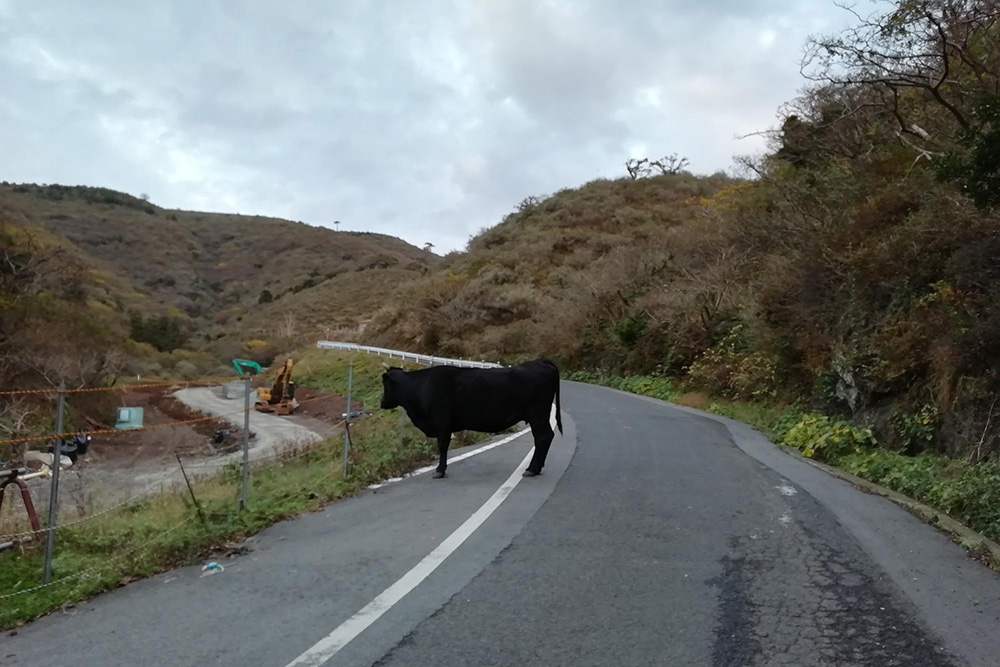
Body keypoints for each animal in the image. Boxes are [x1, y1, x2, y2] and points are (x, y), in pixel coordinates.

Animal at [378, 360, 564, 480]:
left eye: (385, 384)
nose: (381, 402)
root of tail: (541, 362)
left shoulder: (442, 424)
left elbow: (442, 446)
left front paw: (439, 471)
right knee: (544, 437)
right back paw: (536, 468)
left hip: (537, 414)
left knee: (543, 437)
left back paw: (532, 469)